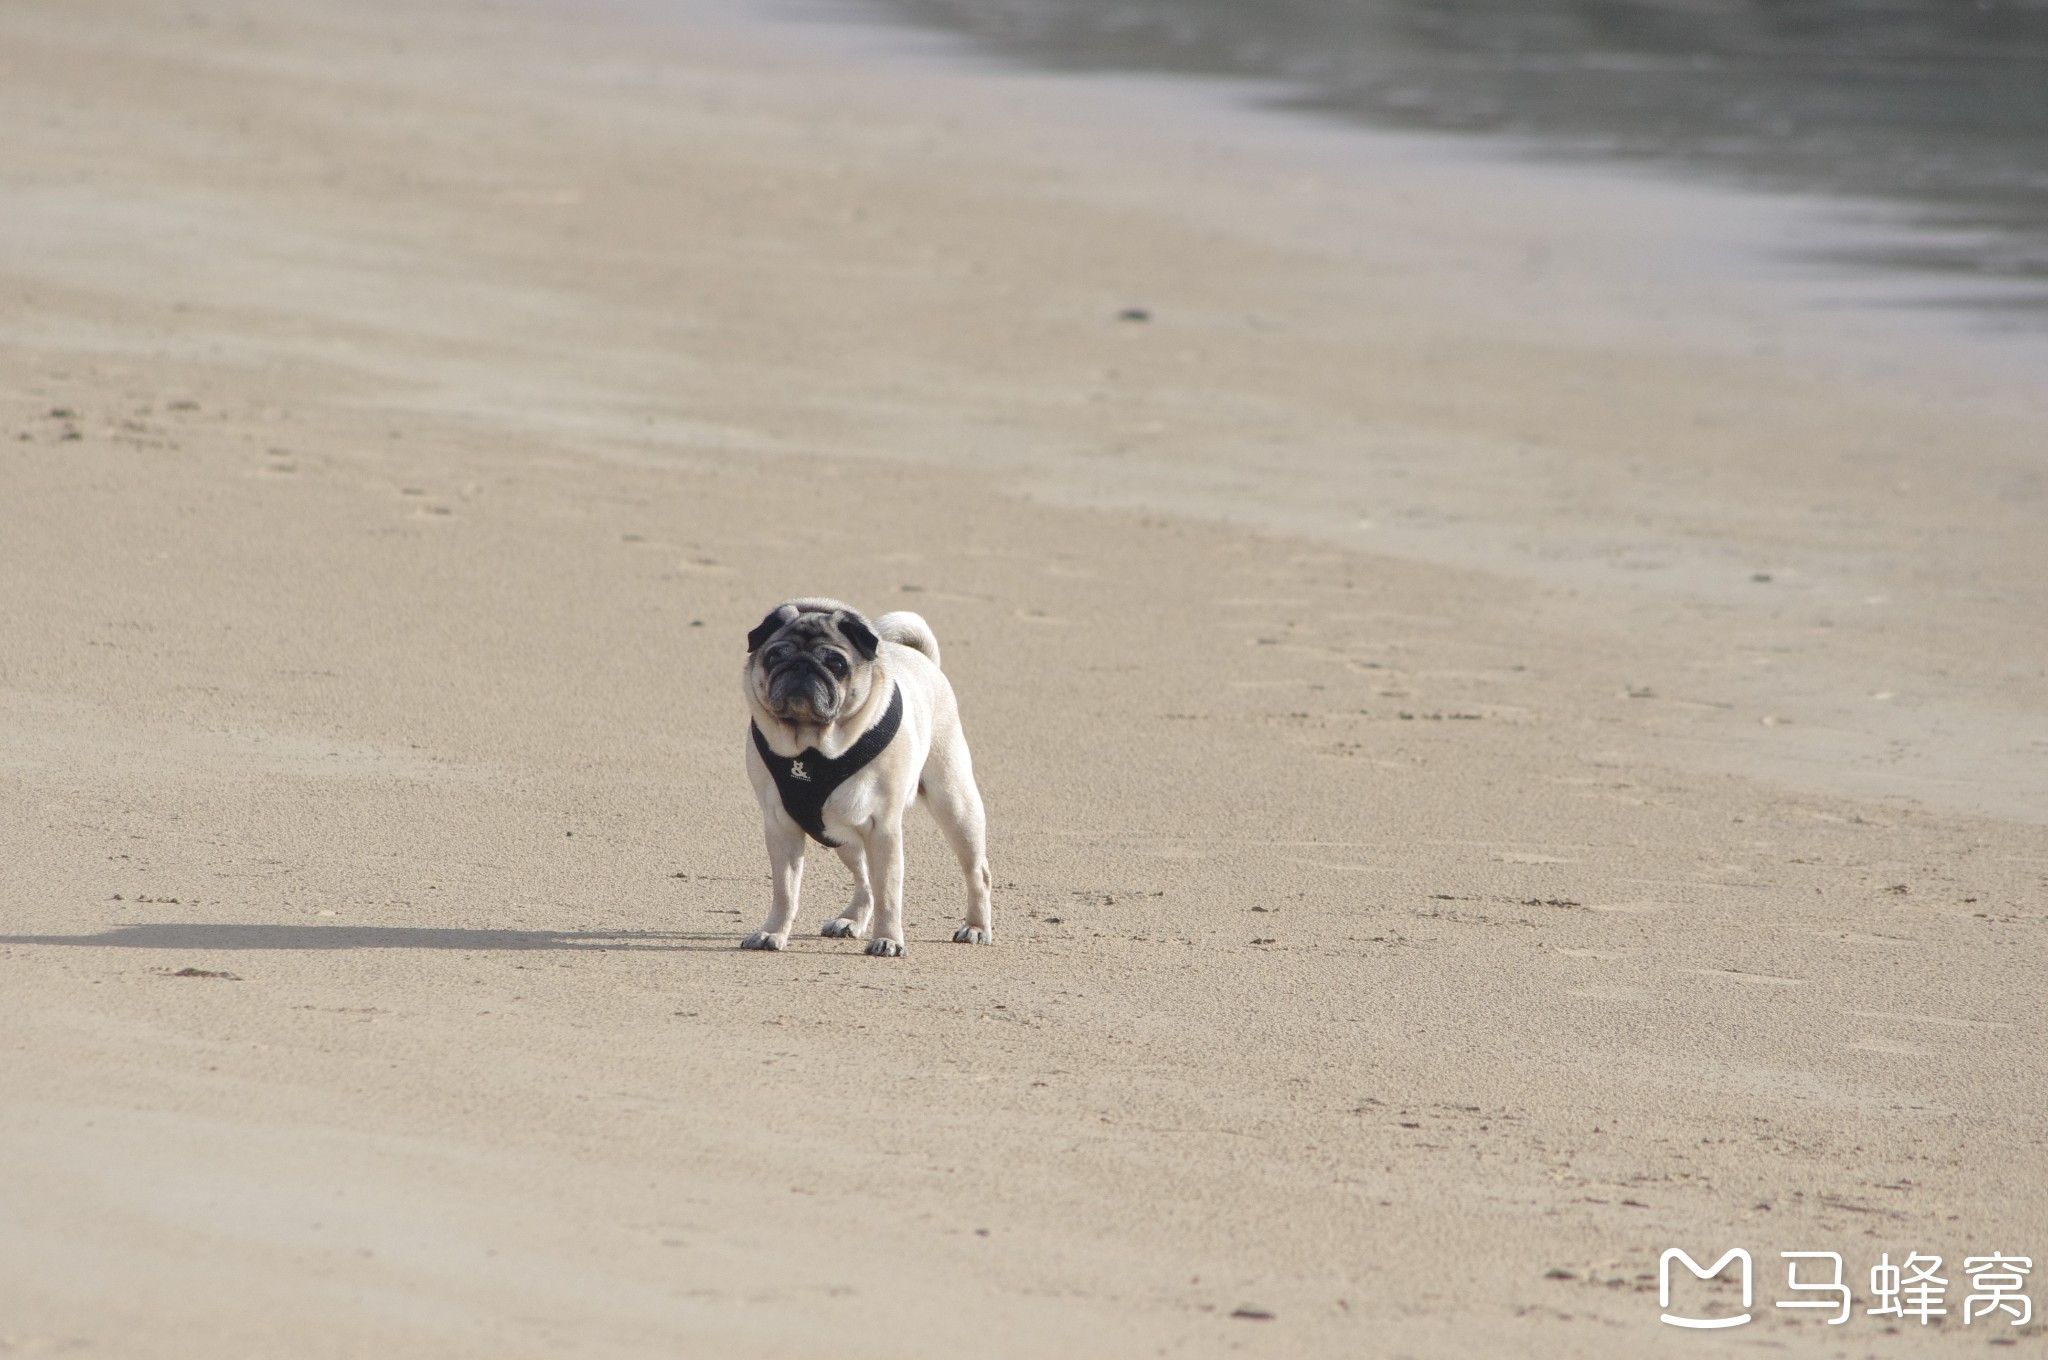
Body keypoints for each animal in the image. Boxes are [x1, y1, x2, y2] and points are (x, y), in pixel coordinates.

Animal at [741, 593, 995, 954]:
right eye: (774, 656)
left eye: (837, 664)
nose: (802, 666)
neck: (813, 747)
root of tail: (923, 659)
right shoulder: (781, 826)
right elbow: (785, 891)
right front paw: (772, 932)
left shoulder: (884, 827)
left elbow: (889, 891)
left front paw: (888, 939)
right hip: (839, 832)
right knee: (863, 878)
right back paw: (852, 919)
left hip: (956, 806)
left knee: (976, 873)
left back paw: (976, 927)